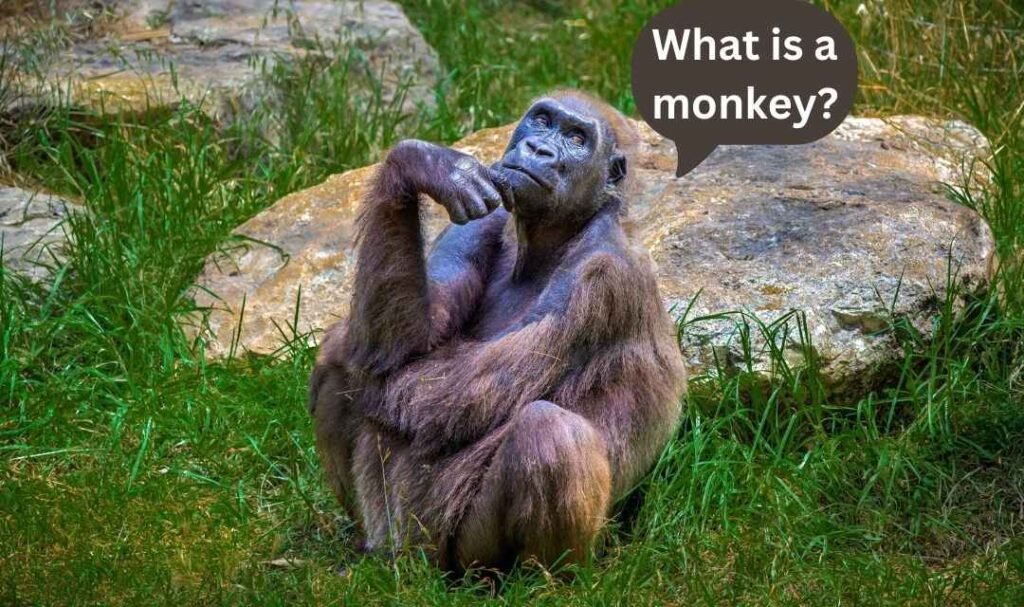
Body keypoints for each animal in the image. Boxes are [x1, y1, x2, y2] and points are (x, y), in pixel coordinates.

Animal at [309, 90, 686, 573]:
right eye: (542, 121)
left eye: (577, 139)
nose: (539, 149)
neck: (549, 240)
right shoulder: (476, 225)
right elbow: (405, 340)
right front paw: (423, 162)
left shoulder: (602, 278)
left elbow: (451, 395)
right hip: (403, 543)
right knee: (347, 353)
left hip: (458, 556)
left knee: (549, 433)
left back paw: (541, 579)